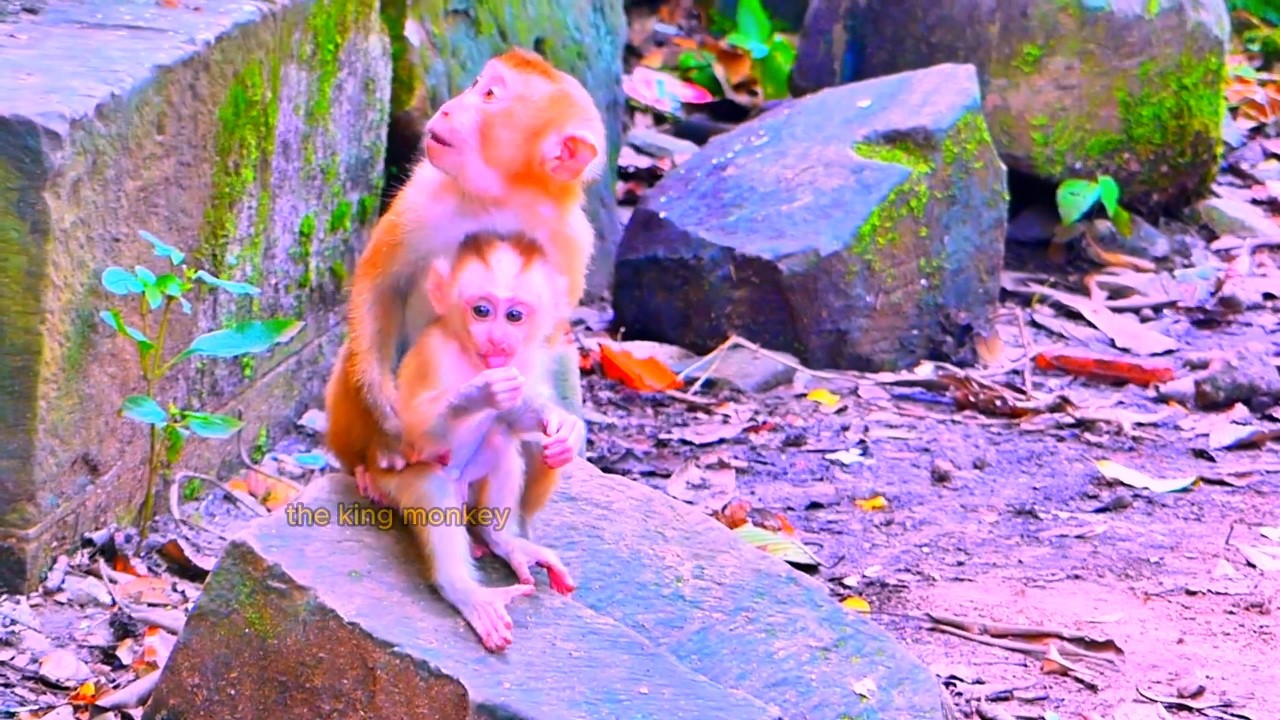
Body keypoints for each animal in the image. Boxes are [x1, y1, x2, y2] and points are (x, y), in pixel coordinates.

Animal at [323, 47, 606, 510]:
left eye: (489, 95)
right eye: (476, 84)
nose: (447, 107)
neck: (502, 197)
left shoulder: (573, 241)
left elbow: (549, 336)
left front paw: (566, 429)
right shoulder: (422, 196)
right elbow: (381, 287)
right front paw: (384, 408)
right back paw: (372, 467)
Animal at [366, 231, 584, 652]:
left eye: (514, 316)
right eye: (481, 310)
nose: (497, 339)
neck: (472, 357)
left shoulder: (522, 360)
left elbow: (514, 416)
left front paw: (564, 430)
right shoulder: (434, 354)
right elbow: (412, 430)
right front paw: (480, 392)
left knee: (500, 442)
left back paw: (504, 541)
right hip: (393, 483)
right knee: (433, 484)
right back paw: (466, 592)